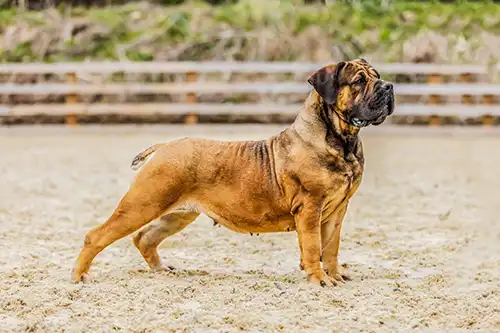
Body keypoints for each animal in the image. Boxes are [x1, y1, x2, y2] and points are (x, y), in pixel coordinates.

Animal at [71, 57, 394, 286]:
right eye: (359, 81)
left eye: (377, 76)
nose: (389, 87)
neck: (342, 141)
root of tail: (164, 146)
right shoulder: (311, 207)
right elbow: (314, 246)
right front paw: (319, 279)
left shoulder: (337, 210)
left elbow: (331, 247)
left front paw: (335, 275)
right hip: (142, 204)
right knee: (96, 236)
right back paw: (79, 276)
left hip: (176, 213)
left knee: (145, 238)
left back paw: (163, 269)